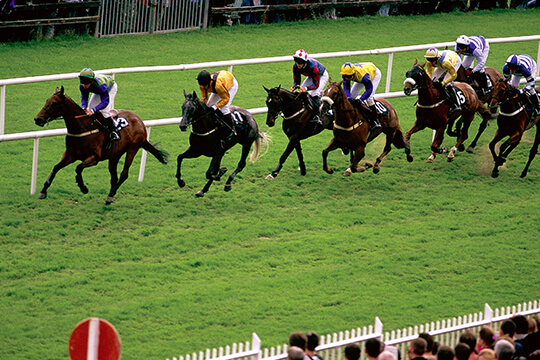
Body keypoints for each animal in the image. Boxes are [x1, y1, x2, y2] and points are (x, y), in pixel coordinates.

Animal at [33, 86, 168, 204]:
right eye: (47, 100)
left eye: (54, 103)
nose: (37, 119)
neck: (82, 128)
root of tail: (140, 120)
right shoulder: (70, 155)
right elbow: (56, 167)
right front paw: (43, 191)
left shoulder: (95, 158)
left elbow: (78, 168)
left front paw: (83, 187)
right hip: (115, 154)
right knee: (114, 177)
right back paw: (110, 195)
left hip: (133, 148)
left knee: (124, 174)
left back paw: (110, 195)